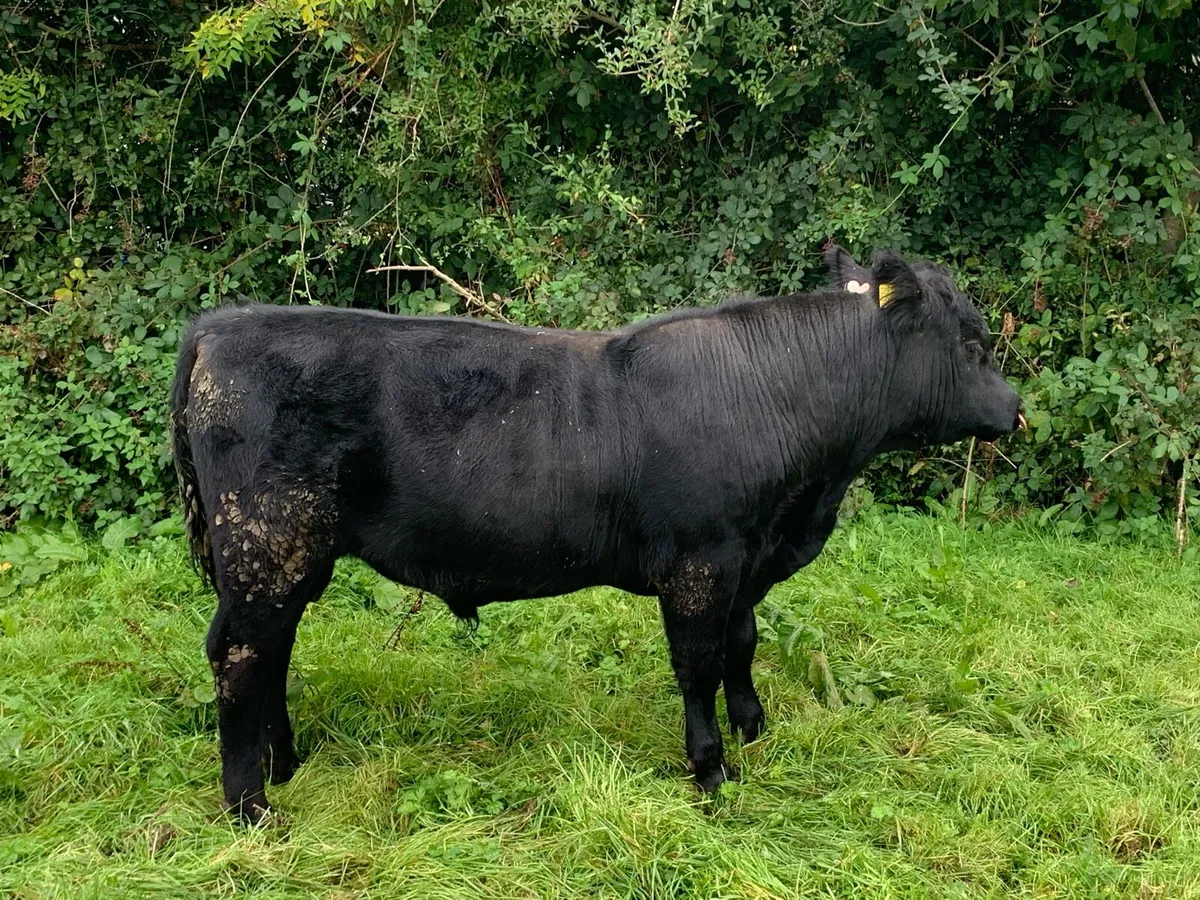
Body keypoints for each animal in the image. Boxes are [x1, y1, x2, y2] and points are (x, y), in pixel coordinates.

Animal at [170, 245, 1023, 823]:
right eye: (972, 343)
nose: (1016, 410)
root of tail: (224, 324)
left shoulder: (746, 560)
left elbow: (742, 645)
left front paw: (754, 731)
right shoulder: (701, 563)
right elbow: (698, 665)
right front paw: (711, 771)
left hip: (290, 558)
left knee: (271, 653)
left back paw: (286, 763)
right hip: (265, 546)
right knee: (240, 656)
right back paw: (251, 806)